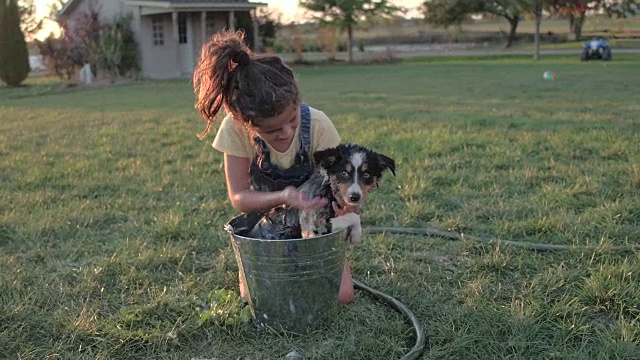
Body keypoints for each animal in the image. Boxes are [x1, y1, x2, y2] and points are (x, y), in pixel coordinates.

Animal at [249, 143, 396, 242]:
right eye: (344, 172)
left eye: (366, 174)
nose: (354, 197)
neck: (330, 190)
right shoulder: (314, 227)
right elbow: (353, 217)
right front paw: (356, 234)